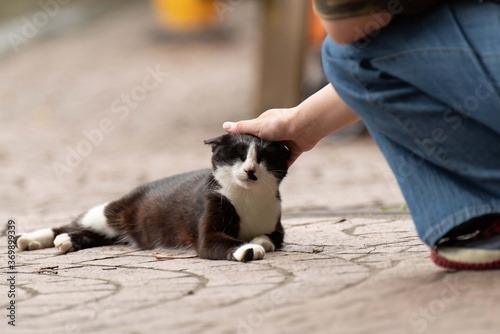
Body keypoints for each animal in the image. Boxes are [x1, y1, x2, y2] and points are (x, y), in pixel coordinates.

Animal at [16, 134, 290, 262]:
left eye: (264, 158)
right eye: (237, 155)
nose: (250, 170)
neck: (247, 198)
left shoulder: (277, 226)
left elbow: (271, 238)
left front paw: (258, 241)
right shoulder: (209, 220)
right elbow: (218, 241)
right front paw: (247, 248)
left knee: (96, 234)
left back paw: (68, 241)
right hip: (113, 210)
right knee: (75, 222)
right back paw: (31, 238)